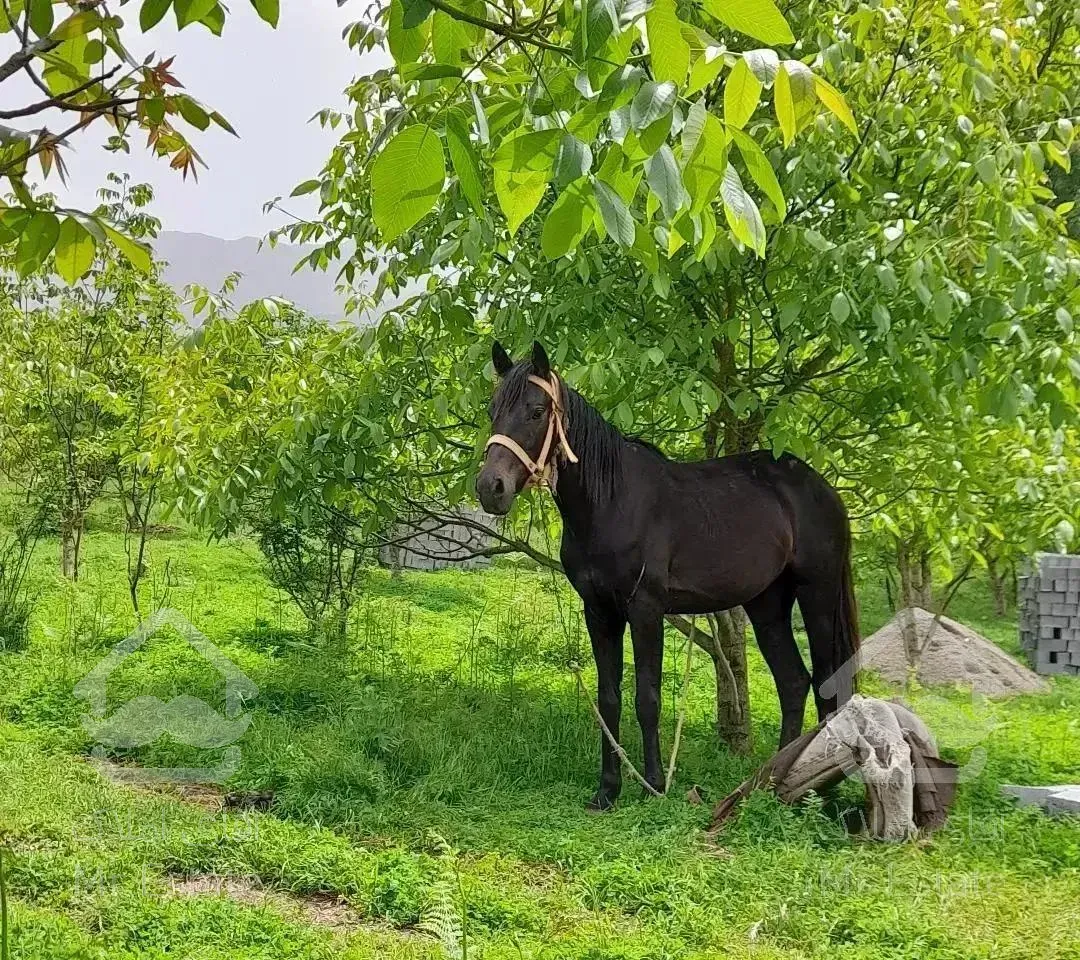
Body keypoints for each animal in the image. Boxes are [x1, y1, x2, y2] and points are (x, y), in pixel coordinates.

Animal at [475, 341, 859, 803]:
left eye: (535, 411)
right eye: (493, 409)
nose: (490, 488)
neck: (612, 501)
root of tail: (822, 488)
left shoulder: (646, 610)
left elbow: (648, 697)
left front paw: (654, 785)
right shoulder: (599, 612)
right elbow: (609, 699)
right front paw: (608, 791)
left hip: (818, 594)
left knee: (826, 684)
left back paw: (819, 794)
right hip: (767, 605)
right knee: (793, 682)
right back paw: (773, 783)